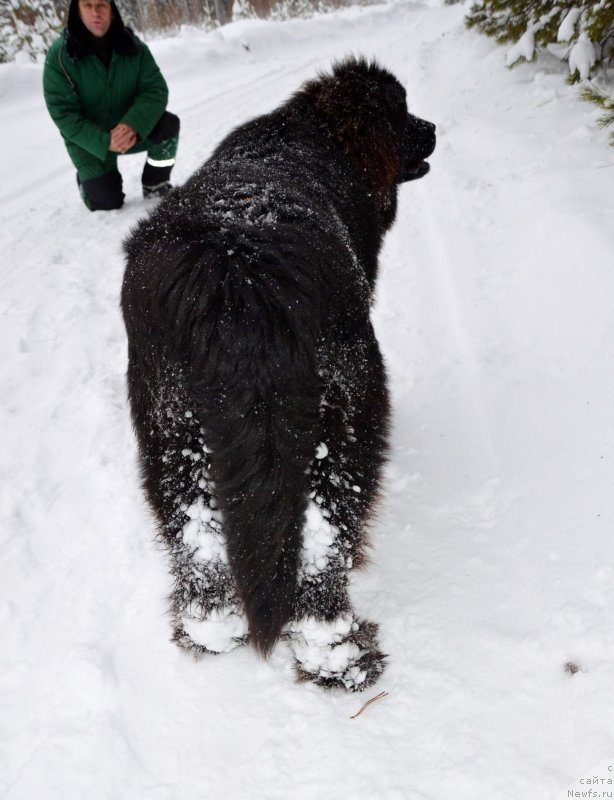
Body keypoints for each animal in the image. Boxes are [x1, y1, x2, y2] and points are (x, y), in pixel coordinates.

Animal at [121, 57, 438, 692]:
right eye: (403, 114)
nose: (434, 128)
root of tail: (233, 271)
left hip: (166, 423)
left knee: (197, 535)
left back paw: (208, 630)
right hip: (344, 412)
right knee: (324, 535)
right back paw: (338, 654)